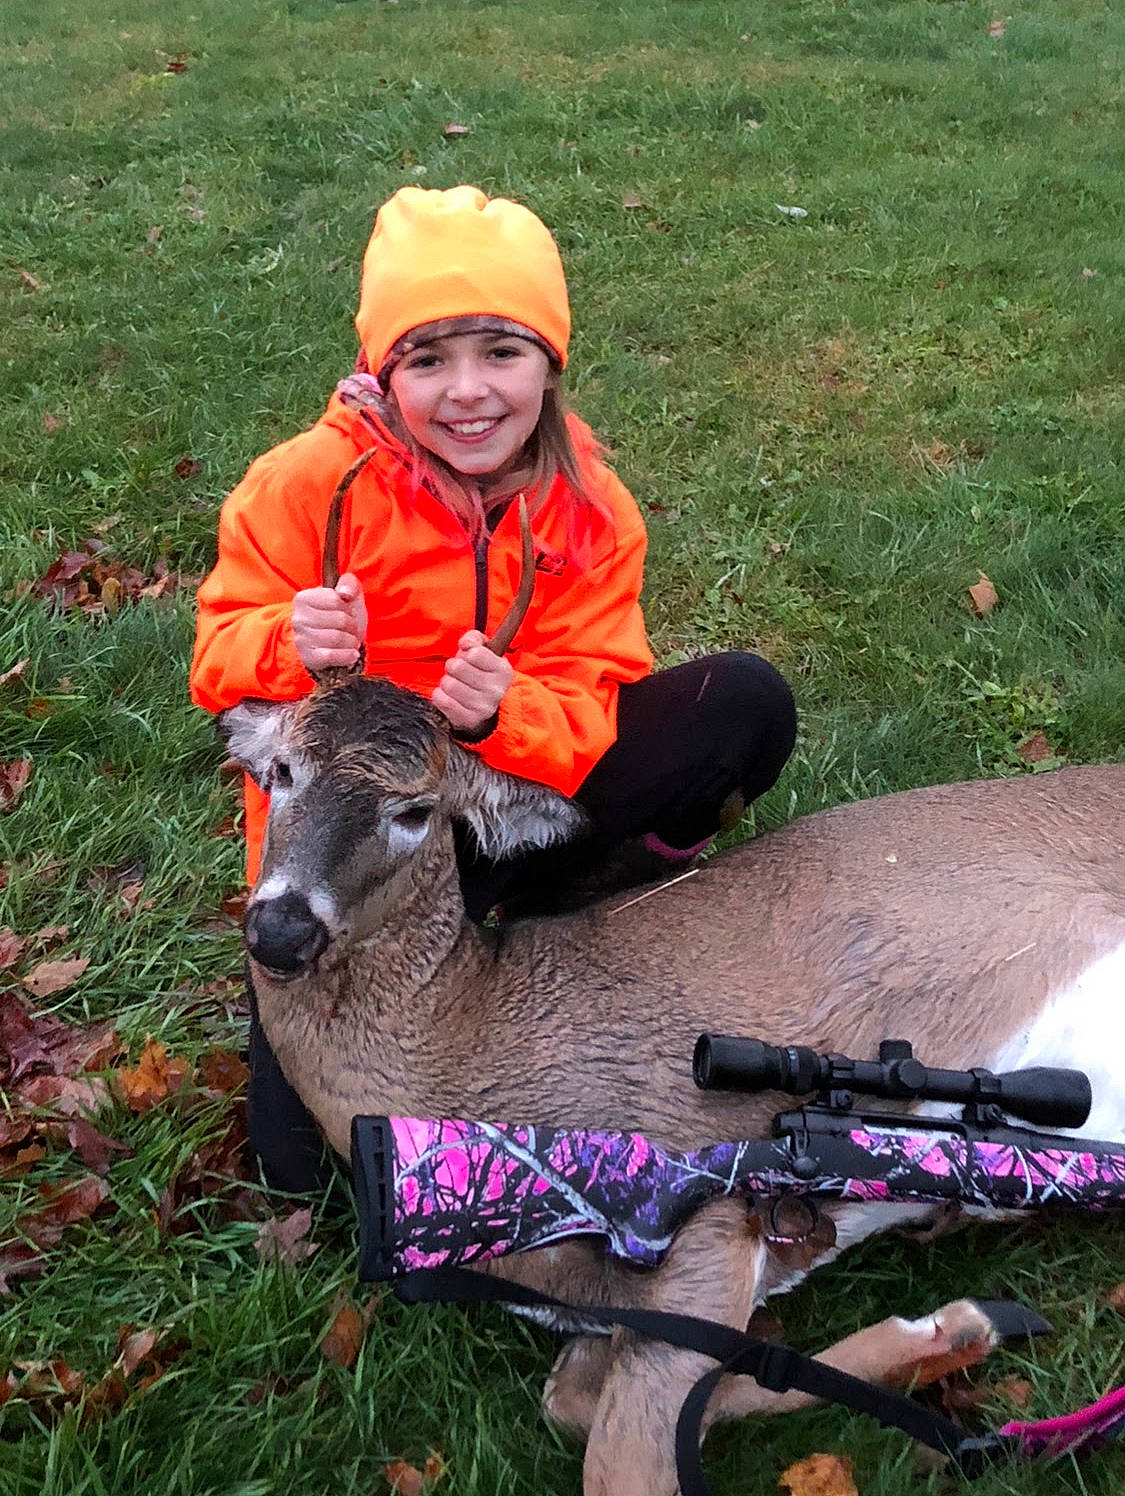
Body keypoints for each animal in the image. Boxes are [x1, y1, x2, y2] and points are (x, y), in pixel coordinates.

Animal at [217, 454, 1125, 1495]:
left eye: (415, 810)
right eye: (282, 772)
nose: (280, 927)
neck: (467, 1045)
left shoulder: (709, 1226)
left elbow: (624, 1454)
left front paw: (958, 1321)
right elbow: (589, 1400)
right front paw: (957, 1326)